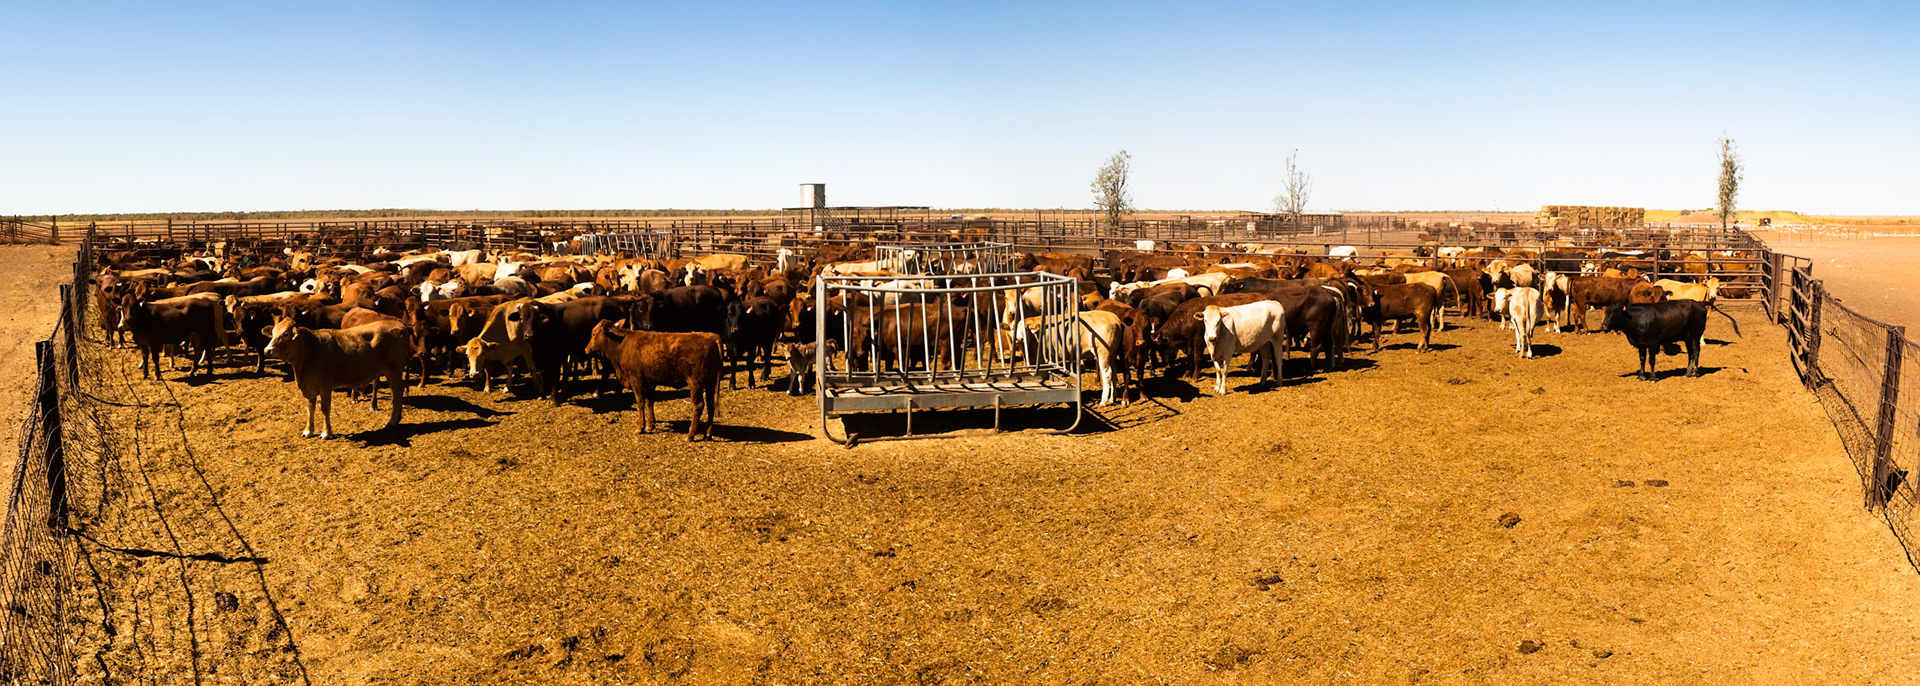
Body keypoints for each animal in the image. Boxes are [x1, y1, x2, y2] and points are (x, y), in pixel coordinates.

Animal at [262, 318, 409, 438]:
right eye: (273, 333)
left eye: (285, 334)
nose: (267, 350)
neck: (311, 350)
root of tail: (401, 324)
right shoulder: (309, 388)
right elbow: (310, 409)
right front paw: (308, 431)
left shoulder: (325, 387)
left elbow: (325, 409)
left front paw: (326, 432)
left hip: (394, 371)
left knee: (398, 392)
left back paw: (393, 421)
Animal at [584, 321, 722, 441]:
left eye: (594, 334)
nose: (586, 349)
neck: (622, 344)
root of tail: (711, 336)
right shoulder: (650, 382)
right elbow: (649, 401)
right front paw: (650, 425)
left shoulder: (636, 379)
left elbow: (640, 402)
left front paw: (640, 427)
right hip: (710, 382)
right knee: (710, 405)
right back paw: (708, 435)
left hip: (695, 383)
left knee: (699, 405)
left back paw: (690, 435)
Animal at [1601, 300, 1742, 381]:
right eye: (1607, 312)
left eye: (1614, 312)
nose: (1604, 326)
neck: (1637, 318)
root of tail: (1699, 303)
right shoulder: (1641, 345)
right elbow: (1642, 360)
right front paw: (1641, 376)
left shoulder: (1653, 343)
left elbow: (1651, 361)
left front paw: (1652, 377)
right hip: (1688, 338)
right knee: (1691, 353)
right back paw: (1687, 372)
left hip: (1695, 335)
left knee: (1696, 352)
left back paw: (1694, 373)